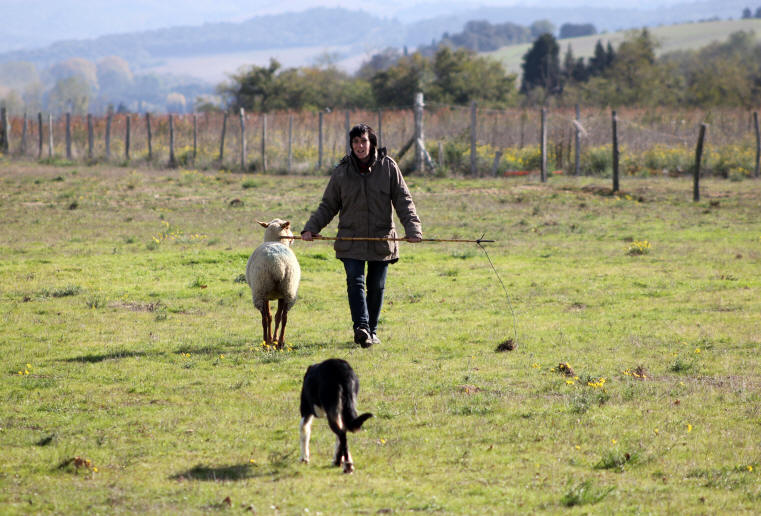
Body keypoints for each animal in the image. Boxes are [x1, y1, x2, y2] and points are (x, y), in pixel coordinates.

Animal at [246, 218, 300, 346]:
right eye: (287, 228)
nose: (293, 238)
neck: (275, 240)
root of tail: (277, 264)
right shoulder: (280, 295)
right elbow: (277, 316)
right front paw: (274, 339)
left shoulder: (268, 295)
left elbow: (270, 316)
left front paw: (271, 339)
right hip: (288, 289)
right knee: (284, 317)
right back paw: (280, 342)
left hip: (260, 289)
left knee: (264, 318)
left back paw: (265, 342)